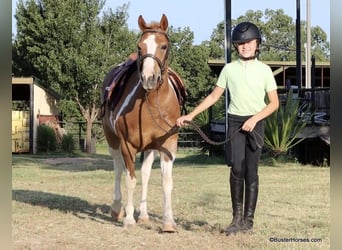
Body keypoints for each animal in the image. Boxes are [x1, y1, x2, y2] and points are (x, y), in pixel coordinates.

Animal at [101, 13, 186, 232]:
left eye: (164, 46)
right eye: (140, 47)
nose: (149, 78)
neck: (152, 104)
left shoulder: (167, 145)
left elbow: (166, 182)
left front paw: (168, 222)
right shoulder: (127, 145)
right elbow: (130, 179)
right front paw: (129, 219)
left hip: (149, 148)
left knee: (146, 174)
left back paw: (144, 215)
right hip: (112, 139)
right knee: (118, 168)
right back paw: (117, 209)